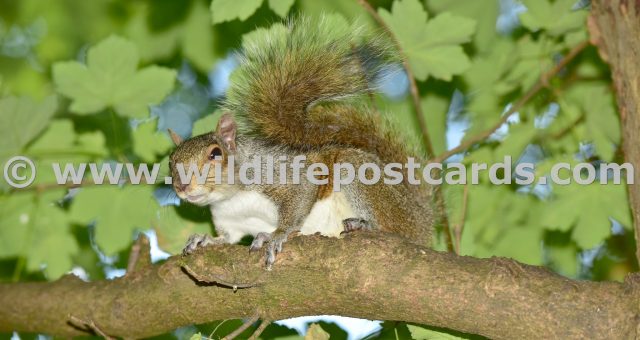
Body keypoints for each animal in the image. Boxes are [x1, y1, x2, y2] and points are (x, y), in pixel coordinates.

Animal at [168, 17, 436, 268]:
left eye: (215, 154)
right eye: (170, 161)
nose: (182, 186)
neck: (230, 197)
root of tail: (422, 219)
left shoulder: (278, 172)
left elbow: (300, 195)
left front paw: (275, 235)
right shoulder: (229, 220)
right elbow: (226, 238)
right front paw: (204, 239)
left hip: (366, 179)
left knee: (396, 230)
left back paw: (366, 225)